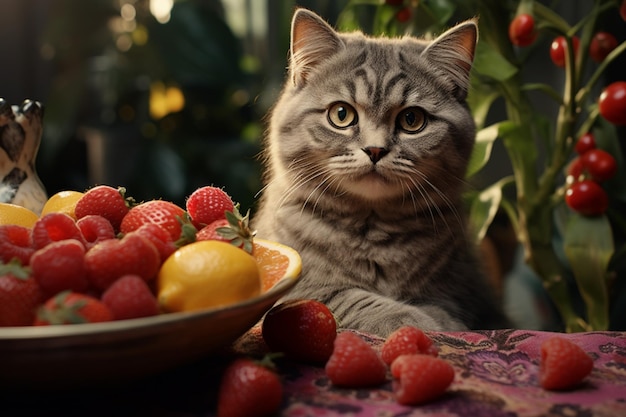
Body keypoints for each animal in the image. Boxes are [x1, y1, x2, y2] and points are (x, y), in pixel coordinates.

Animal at [251, 8, 510, 336]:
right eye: (341, 114)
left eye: (412, 120)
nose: (375, 150)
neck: (372, 226)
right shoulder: (301, 285)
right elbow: (348, 296)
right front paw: (415, 319)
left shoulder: (462, 284)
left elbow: (446, 303)